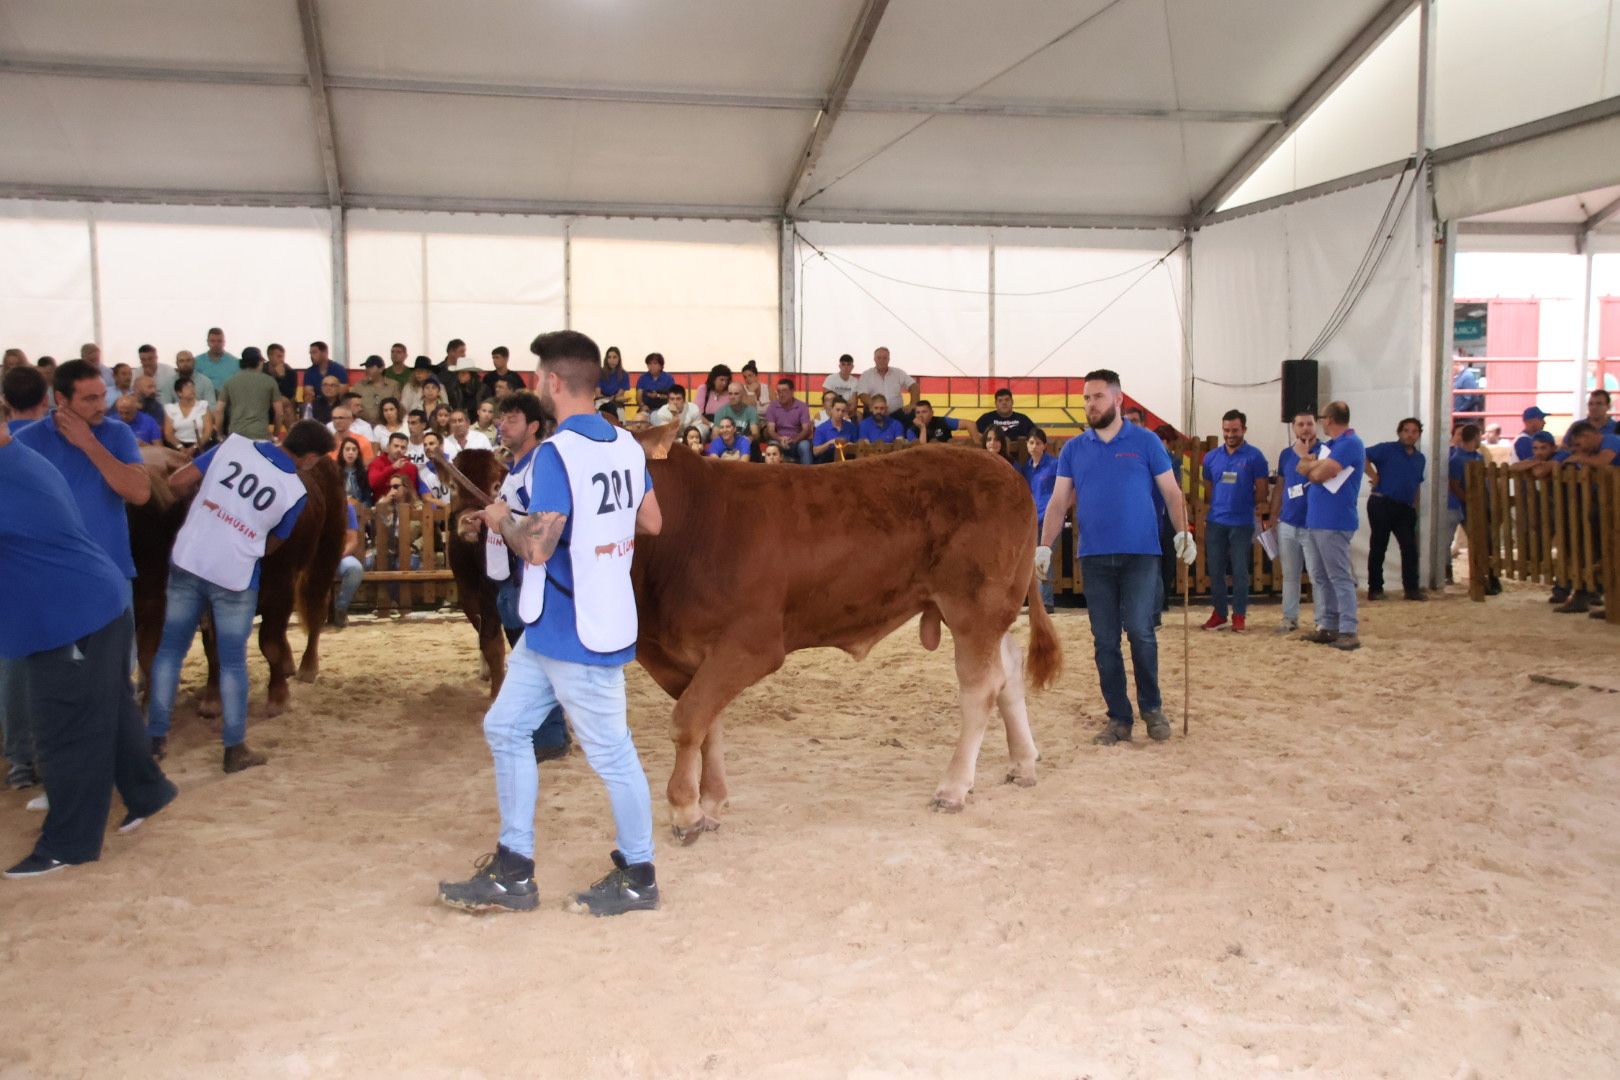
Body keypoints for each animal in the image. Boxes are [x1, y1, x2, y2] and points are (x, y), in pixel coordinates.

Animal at [131, 446, 346, 718]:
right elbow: (214, 648)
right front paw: (213, 699)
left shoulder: (280, 590)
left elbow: (270, 643)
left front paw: (278, 698)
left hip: (325, 554)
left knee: (316, 607)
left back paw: (307, 667)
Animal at [622, 427, 1062, 841]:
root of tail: (1005, 469)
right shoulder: (684, 656)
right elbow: (706, 724)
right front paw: (710, 803)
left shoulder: (750, 644)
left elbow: (687, 720)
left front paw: (686, 811)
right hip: (989, 612)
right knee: (1008, 671)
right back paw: (1022, 764)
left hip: (974, 606)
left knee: (981, 688)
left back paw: (953, 788)